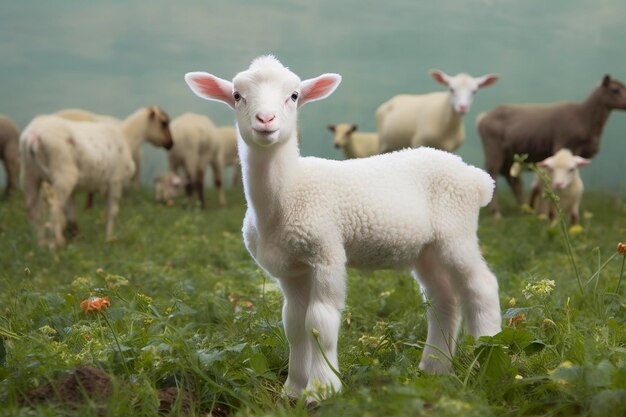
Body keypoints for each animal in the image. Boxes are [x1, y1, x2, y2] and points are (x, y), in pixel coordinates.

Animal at [20, 105, 172, 247]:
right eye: (163, 122)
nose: (171, 144)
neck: (127, 137)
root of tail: (34, 135)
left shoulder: (74, 191)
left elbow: (71, 214)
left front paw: (77, 237)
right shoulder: (116, 181)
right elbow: (113, 212)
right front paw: (109, 238)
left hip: (30, 175)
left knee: (33, 210)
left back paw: (40, 243)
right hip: (63, 175)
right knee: (55, 210)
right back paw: (58, 243)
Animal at [476, 75, 624, 218]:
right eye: (615, 90)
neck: (585, 116)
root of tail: (483, 117)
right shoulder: (563, 145)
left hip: (509, 157)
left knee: (514, 180)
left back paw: (525, 209)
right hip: (494, 150)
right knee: (493, 175)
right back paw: (497, 213)